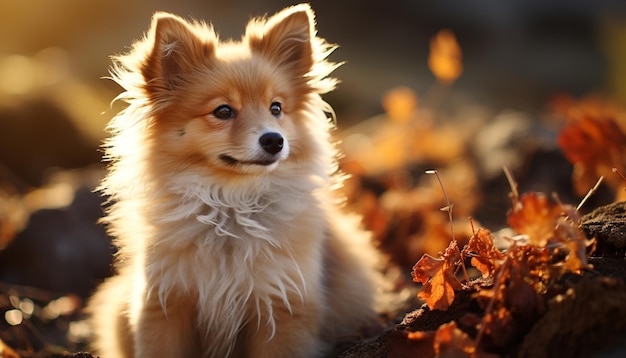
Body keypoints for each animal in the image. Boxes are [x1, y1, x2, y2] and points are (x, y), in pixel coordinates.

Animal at [88, 3, 380, 358]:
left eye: (276, 108)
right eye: (223, 111)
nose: (274, 140)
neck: (230, 205)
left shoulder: (281, 305)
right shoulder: (165, 303)